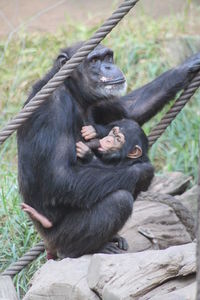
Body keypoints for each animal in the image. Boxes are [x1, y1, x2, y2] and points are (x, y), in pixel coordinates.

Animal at [17, 41, 200, 258]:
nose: (108, 66)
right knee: (119, 200)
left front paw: (189, 64)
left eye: (107, 57)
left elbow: (129, 110)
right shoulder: (51, 108)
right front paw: (144, 170)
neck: (73, 92)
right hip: (60, 237)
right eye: (94, 60)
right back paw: (87, 248)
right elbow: (59, 176)